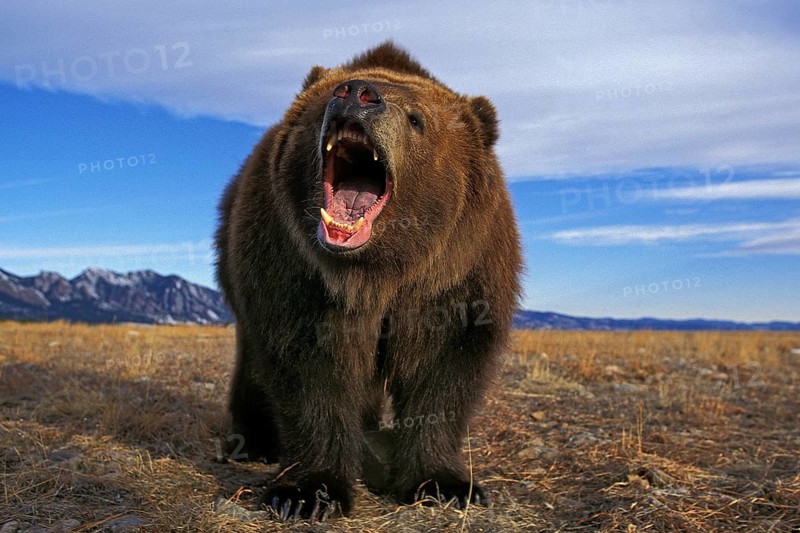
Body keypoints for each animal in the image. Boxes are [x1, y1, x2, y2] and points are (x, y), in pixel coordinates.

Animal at [214, 41, 522, 520]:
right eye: (329, 96)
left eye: (417, 118)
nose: (357, 93)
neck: (378, 272)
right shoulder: (299, 273)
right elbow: (311, 368)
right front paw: (307, 492)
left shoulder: (454, 277)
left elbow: (444, 370)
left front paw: (444, 483)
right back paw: (254, 441)